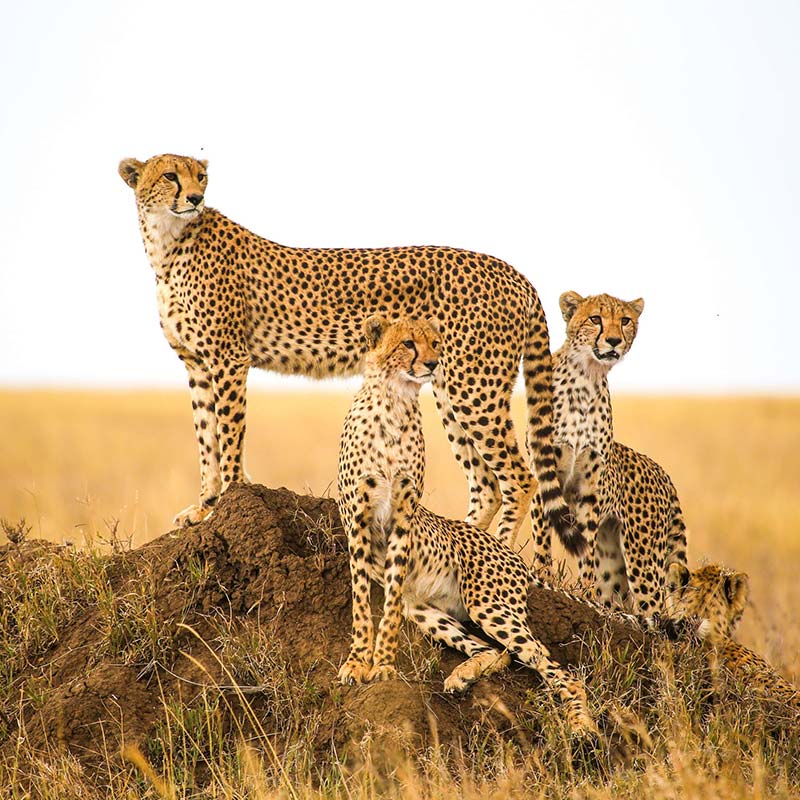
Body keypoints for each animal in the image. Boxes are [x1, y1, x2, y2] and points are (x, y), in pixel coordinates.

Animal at [119, 152, 580, 556]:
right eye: (170, 176)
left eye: (201, 176)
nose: (196, 198)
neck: (168, 243)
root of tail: (511, 271)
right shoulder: (197, 363)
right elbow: (206, 438)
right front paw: (204, 506)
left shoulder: (228, 358)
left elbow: (229, 434)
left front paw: (227, 500)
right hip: (449, 386)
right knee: (486, 484)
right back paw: (461, 543)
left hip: (474, 387)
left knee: (519, 477)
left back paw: (497, 551)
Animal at [338, 314, 620, 736]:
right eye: (407, 343)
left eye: (436, 343)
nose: (434, 364)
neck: (394, 401)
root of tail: (509, 554)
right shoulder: (357, 519)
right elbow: (360, 600)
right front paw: (358, 662)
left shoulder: (403, 517)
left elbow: (387, 608)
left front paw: (383, 664)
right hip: (425, 609)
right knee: (496, 651)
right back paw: (463, 676)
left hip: (489, 605)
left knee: (555, 668)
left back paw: (581, 725)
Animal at [532, 294, 688, 612]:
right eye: (595, 319)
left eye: (625, 320)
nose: (614, 340)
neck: (586, 377)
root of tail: (662, 471)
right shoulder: (544, 470)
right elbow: (542, 534)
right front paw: (542, 575)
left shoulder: (589, 489)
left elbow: (585, 544)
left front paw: (584, 591)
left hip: (642, 556)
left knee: (651, 606)